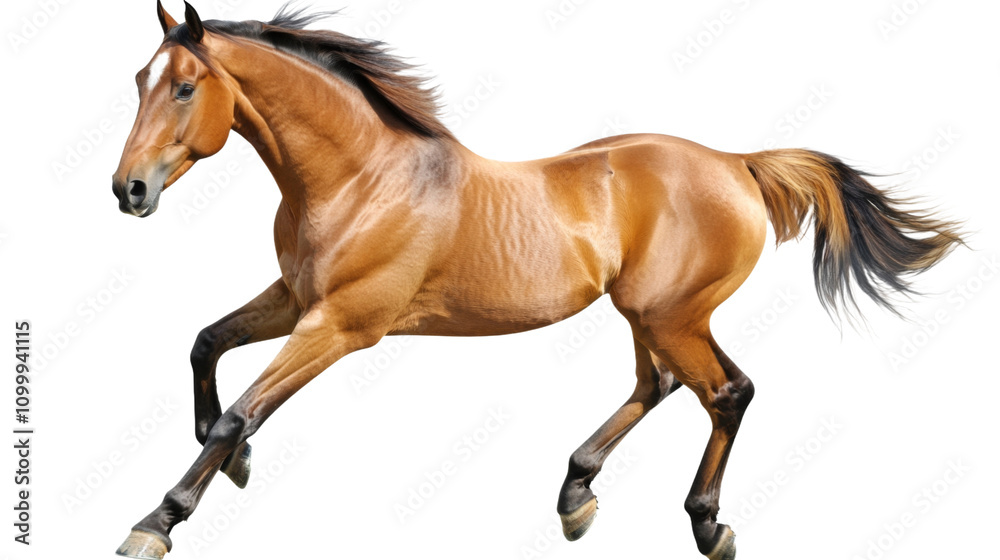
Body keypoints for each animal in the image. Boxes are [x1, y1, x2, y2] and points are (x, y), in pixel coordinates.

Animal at [111, 3, 963, 559]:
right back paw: (576, 494)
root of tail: (738, 163)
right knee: (662, 386)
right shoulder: (296, 300)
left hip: (671, 314)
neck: (362, 178)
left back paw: (705, 524)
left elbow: (242, 412)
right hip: (648, 315)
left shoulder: (343, 324)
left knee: (726, 392)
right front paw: (231, 464)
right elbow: (205, 343)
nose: (128, 191)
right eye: (138, 79)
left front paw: (159, 520)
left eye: (184, 86)